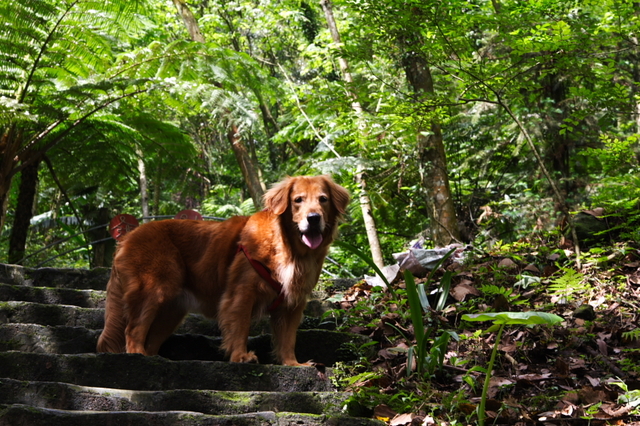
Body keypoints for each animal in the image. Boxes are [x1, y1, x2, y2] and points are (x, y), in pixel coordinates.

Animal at [96, 175, 350, 364]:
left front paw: (292, 364)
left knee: (149, 337)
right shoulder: (241, 293)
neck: (287, 247)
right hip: (153, 289)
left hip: (170, 310)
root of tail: (126, 238)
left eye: (323, 199)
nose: (313, 218)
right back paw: (137, 356)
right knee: (133, 330)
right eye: (298, 200)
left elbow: (287, 339)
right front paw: (240, 356)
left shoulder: (292, 302)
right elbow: (240, 327)